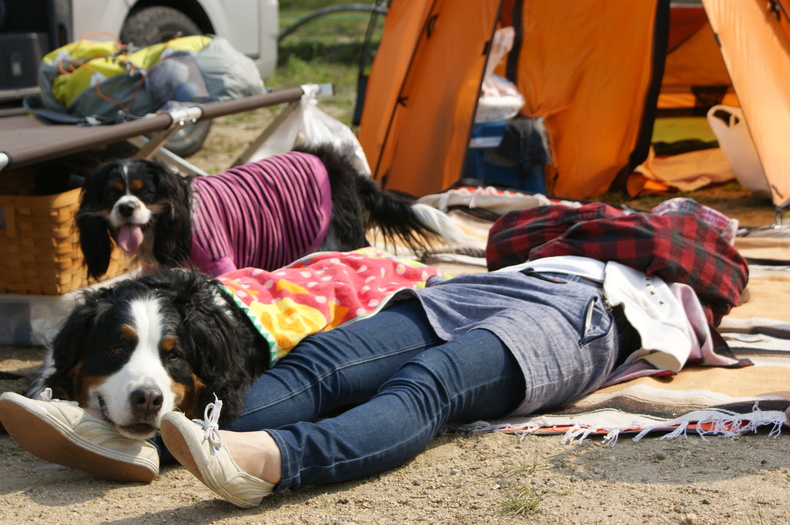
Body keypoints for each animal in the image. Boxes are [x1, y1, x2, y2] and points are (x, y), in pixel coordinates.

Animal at [76, 141, 454, 280]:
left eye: (145, 192)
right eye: (111, 196)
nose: (126, 208)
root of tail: (335, 161)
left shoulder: (219, 259)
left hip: (340, 234)